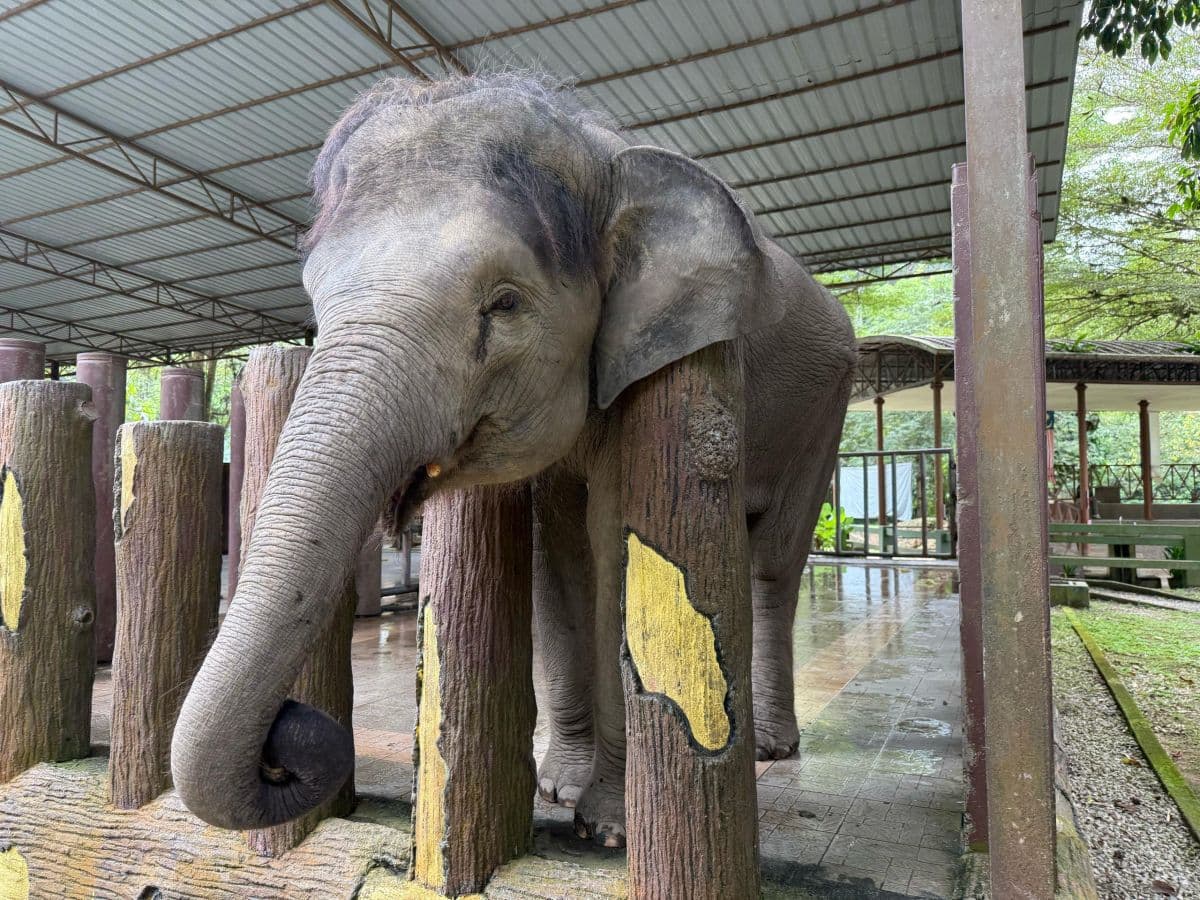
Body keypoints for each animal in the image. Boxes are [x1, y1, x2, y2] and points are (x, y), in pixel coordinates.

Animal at [171, 73, 856, 847]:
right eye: (315, 298)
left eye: (503, 304)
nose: (290, 734)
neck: (596, 152)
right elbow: (557, 561)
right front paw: (560, 787)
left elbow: (615, 550)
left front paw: (608, 827)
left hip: (825, 407)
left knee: (775, 560)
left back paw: (771, 746)